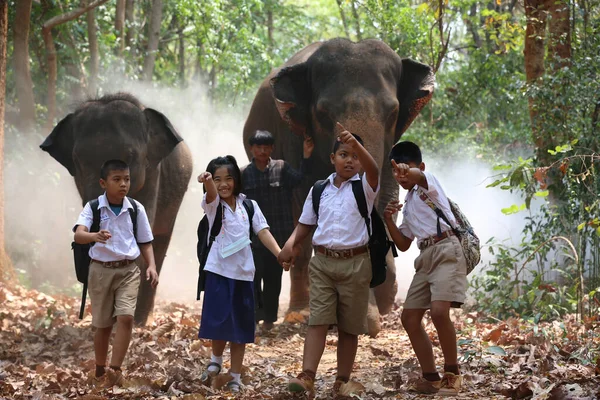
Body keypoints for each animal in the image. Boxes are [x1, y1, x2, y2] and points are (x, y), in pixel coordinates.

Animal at [39, 93, 192, 324]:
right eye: (77, 160)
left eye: (129, 156)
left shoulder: (152, 174)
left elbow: (141, 242)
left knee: (159, 243)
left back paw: (141, 321)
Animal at [241, 38, 434, 338]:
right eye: (322, 114)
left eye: (392, 112)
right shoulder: (293, 139)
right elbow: (304, 205)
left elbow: (386, 194)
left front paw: (381, 302)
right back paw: (299, 311)